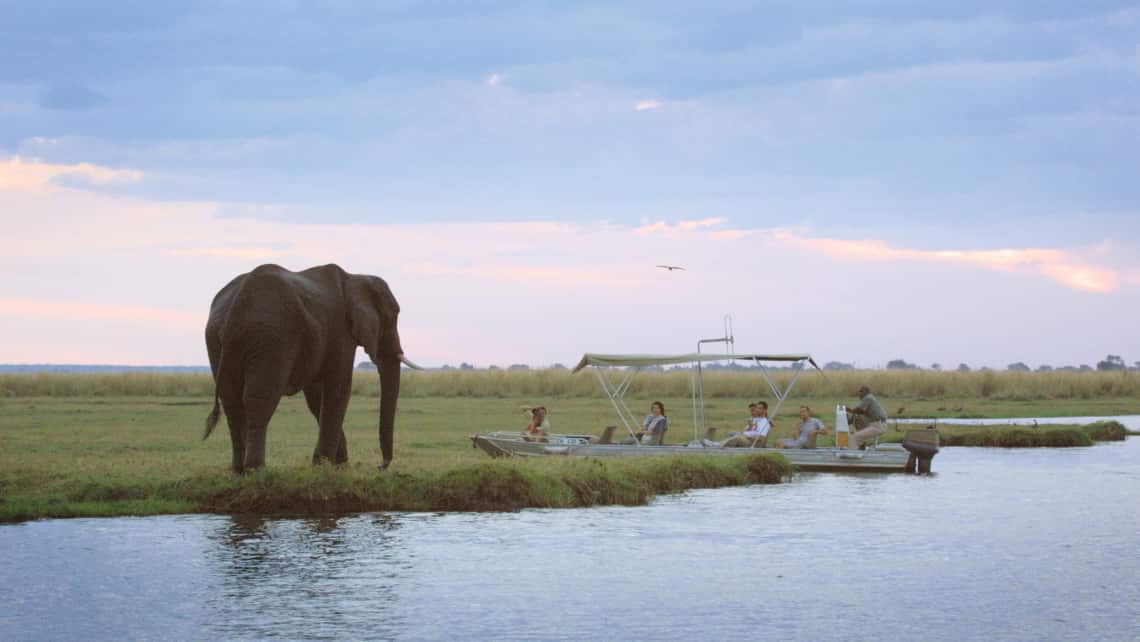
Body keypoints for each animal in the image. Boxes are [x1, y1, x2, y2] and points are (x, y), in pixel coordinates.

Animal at [205, 263, 419, 474]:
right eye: (392, 317)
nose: (381, 466)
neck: (354, 277)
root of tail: (236, 307)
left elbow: (317, 396)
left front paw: (336, 465)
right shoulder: (340, 331)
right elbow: (339, 387)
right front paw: (325, 466)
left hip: (217, 340)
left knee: (231, 401)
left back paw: (238, 470)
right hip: (271, 336)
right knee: (260, 397)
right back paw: (256, 470)